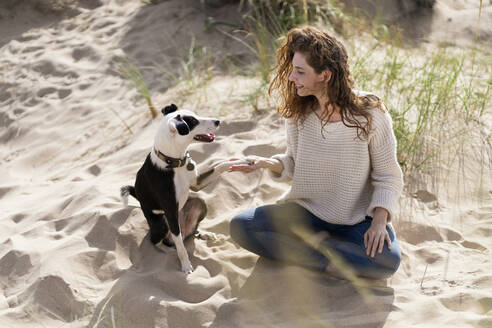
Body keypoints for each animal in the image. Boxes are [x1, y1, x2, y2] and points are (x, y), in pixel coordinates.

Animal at [119, 104, 250, 272]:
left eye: (196, 115)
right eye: (193, 122)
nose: (217, 121)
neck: (174, 162)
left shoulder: (197, 183)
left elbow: (221, 165)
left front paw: (243, 161)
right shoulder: (170, 212)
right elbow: (181, 248)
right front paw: (186, 266)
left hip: (199, 202)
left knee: (189, 233)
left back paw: (204, 234)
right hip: (162, 223)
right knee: (160, 241)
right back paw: (169, 250)